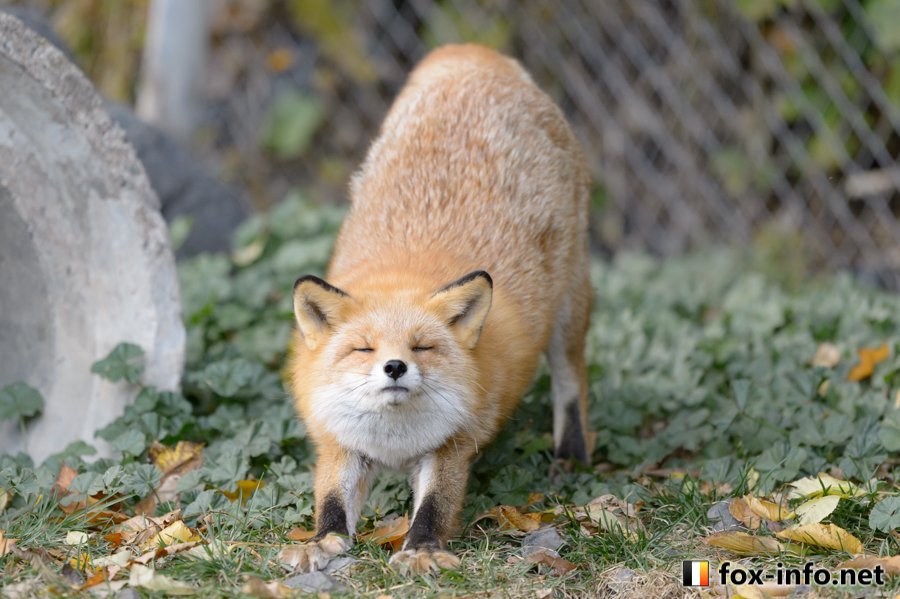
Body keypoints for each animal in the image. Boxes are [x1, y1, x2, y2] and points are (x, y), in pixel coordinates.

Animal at [282, 44, 592, 576]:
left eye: (422, 346)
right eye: (364, 349)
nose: (394, 366)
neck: (393, 441)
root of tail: (471, 55)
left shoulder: (453, 444)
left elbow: (434, 506)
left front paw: (422, 550)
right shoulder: (340, 442)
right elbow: (331, 502)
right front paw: (321, 541)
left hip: (569, 310)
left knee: (572, 382)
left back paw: (570, 457)